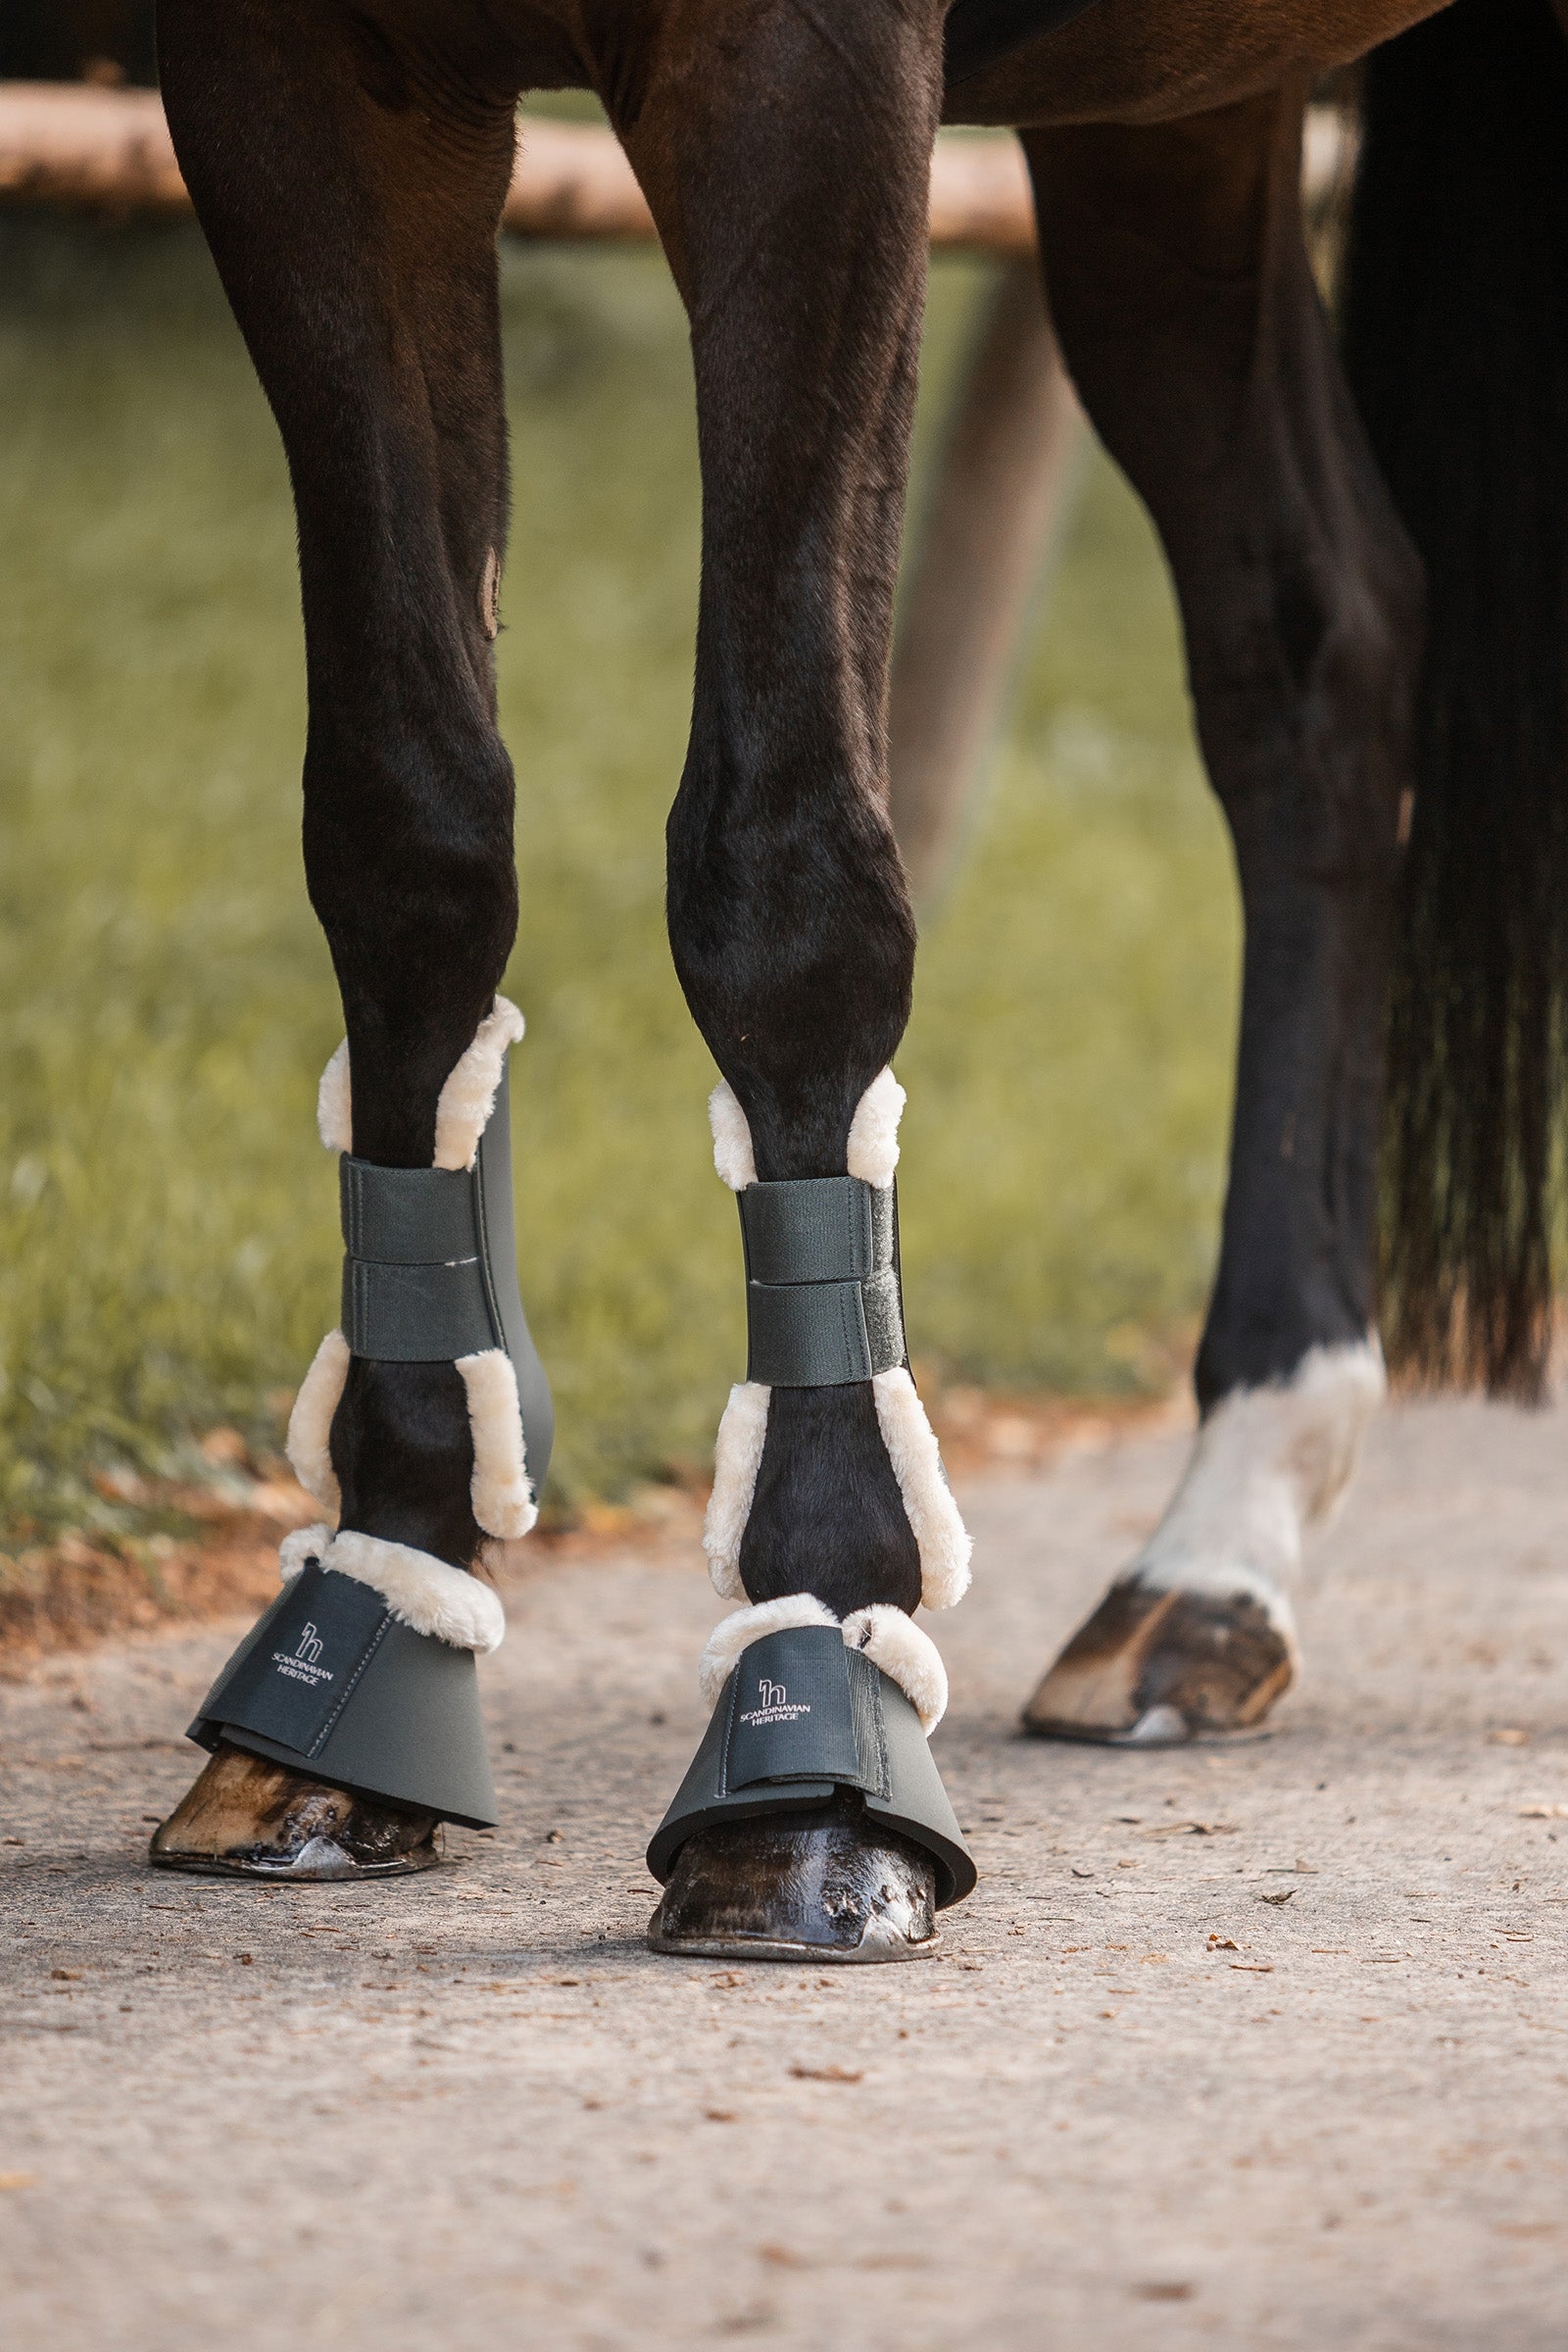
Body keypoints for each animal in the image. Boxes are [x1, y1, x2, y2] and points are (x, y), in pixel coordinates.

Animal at [145, 0, 1568, 1962]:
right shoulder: (303, 92)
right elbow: (405, 824)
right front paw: (389, 1581)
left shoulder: (805, 80)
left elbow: (784, 866)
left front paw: (821, 1708)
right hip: (1178, 121)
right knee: (1315, 650)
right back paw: (1213, 1562)